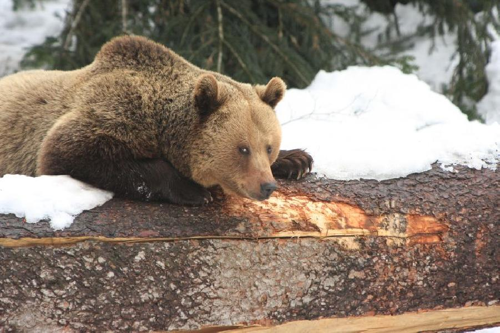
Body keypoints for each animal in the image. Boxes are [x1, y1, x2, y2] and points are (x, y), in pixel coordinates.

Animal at [0, 35, 312, 204]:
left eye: (268, 147)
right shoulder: (115, 110)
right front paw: (193, 190)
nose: (267, 186)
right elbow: (67, 150)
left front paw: (297, 160)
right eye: (242, 148)